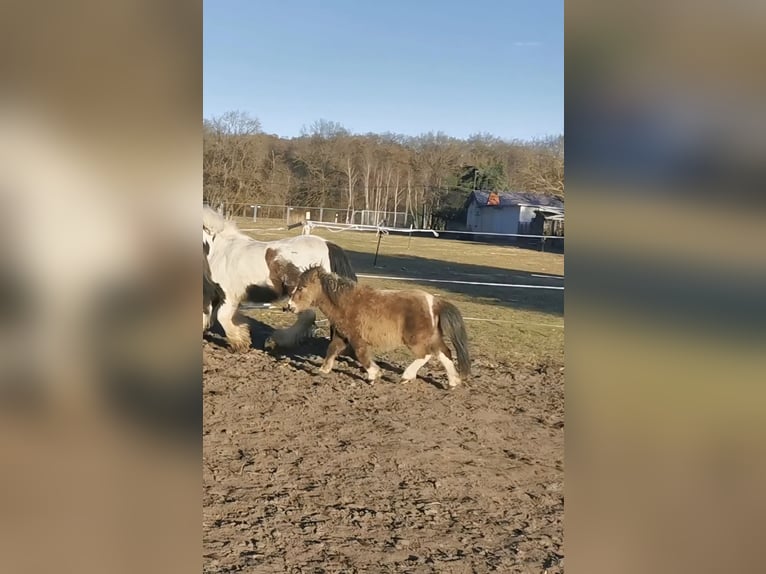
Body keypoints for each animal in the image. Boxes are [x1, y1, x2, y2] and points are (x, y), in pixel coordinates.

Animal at [202, 206, 357, 352]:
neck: (219, 250)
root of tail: (328, 245)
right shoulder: (214, 294)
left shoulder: (228, 295)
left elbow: (222, 317)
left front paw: (240, 344)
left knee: (307, 316)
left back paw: (276, 340)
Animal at [285, 266, 471, 388]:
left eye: (302, 287)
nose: (289, 307)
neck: (346, 303)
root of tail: (435, 302)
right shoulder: (342, 336)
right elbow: (331, 349)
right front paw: (323, 370)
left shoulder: (356, 337)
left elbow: (361, 355)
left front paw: (374, 374)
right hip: (431, 337)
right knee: (444, 353)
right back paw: (453, 382)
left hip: (416, 339)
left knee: (426, 354)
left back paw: (406, 376)